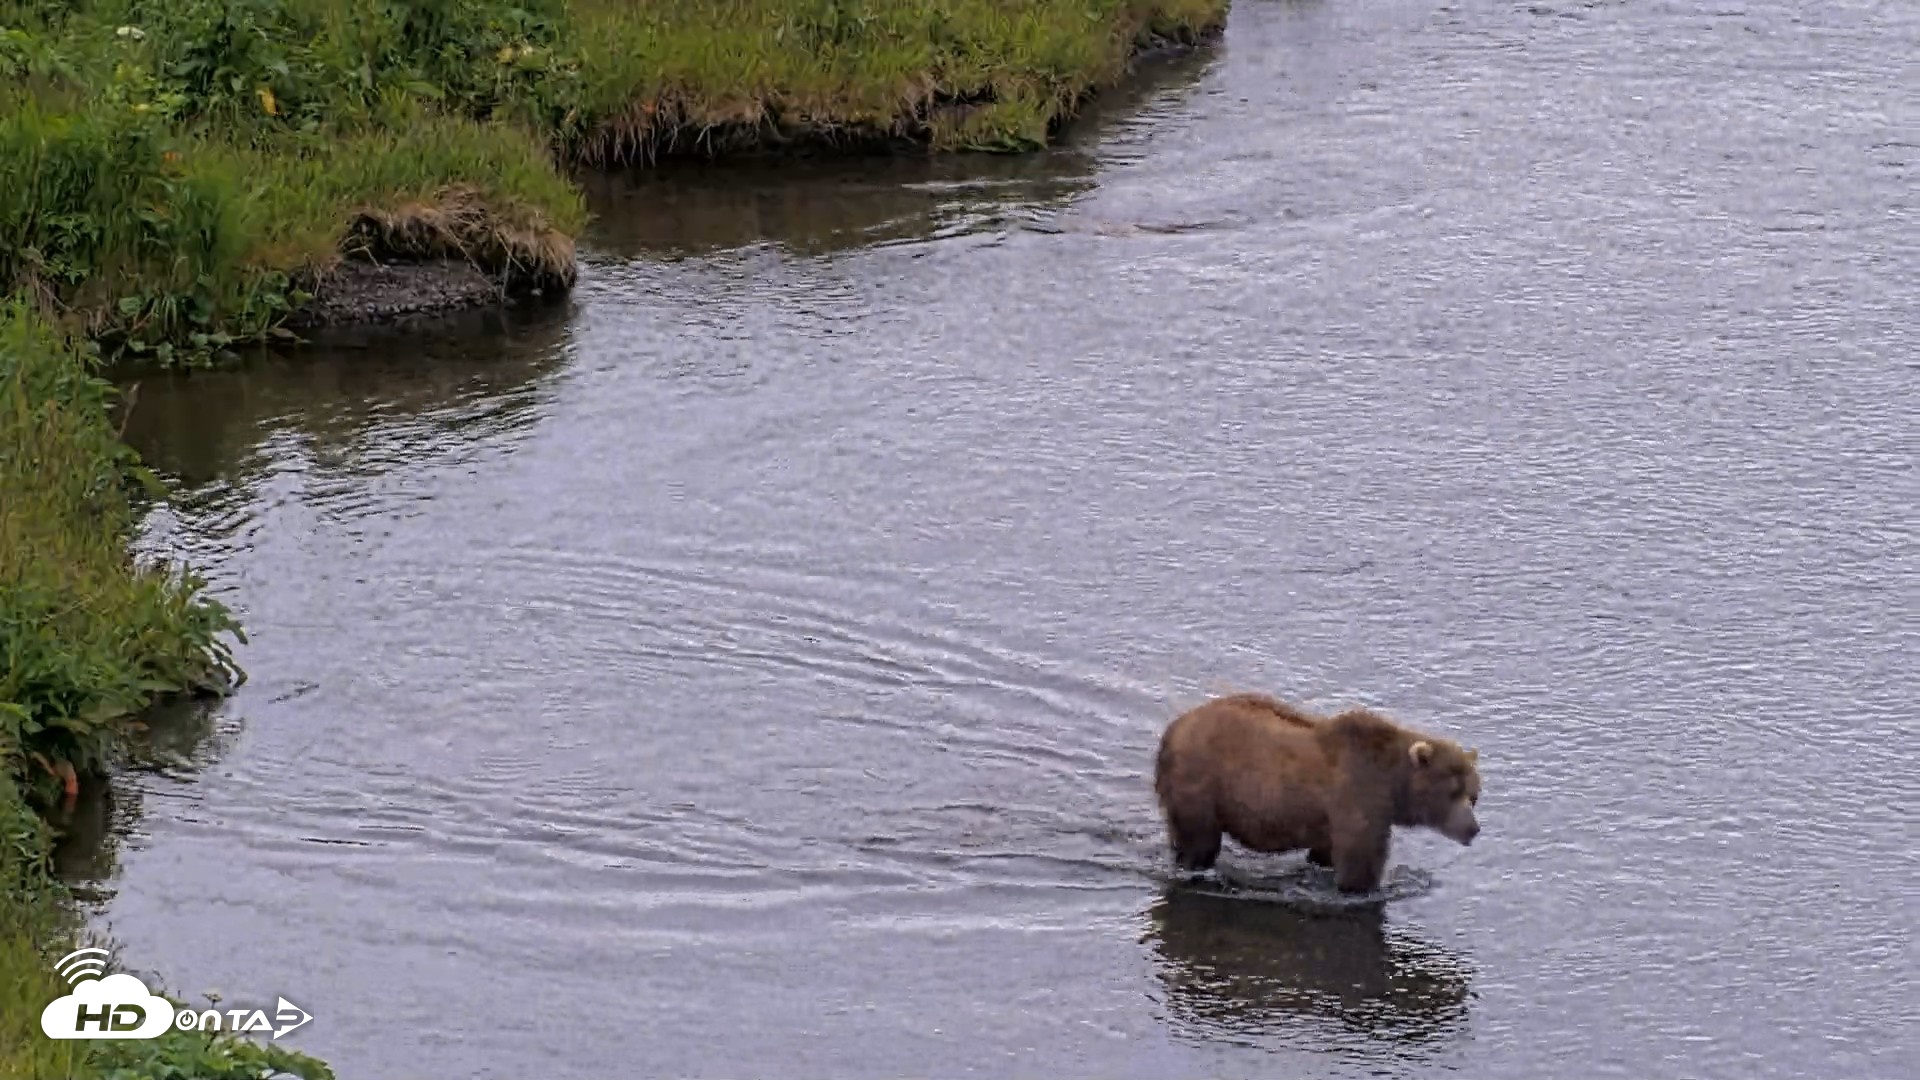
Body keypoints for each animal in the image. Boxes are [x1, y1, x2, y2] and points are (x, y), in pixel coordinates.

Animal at [1152, 692, 1482, 894]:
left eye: (1474, 795)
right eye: (1452, 792)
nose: (1473, 828)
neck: (1393, 784)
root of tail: (1172, 729)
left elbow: (1325, 852)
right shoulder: (1359, 798)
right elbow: (1360, 862)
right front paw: (1362, 887)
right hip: (1200, 781)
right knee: (1199, 840)